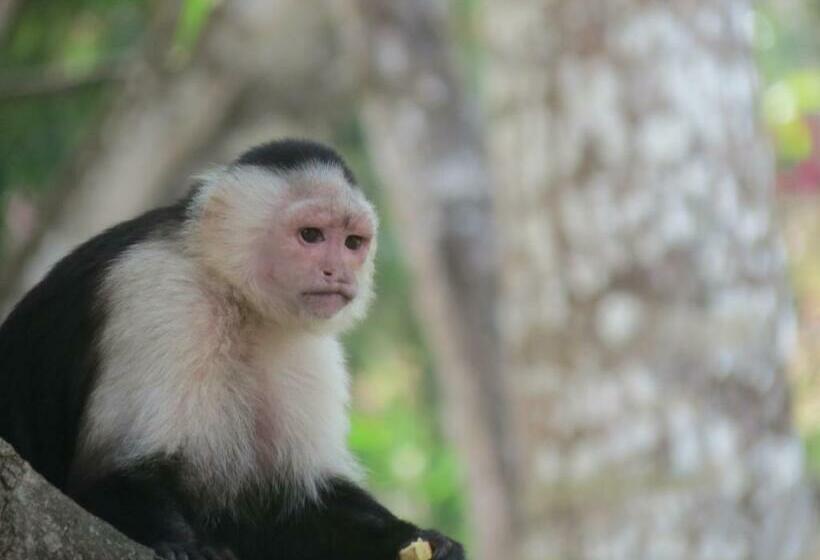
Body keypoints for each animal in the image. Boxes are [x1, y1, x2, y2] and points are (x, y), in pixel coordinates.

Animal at [0, 139, 466, 560]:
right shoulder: (157, 295)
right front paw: (183, 544)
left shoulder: (306, 351)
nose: (337, 272)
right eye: (311, 235)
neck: (234, 294)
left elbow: (296, 508)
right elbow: (108, 475)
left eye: (353, 242)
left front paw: (419, 540)